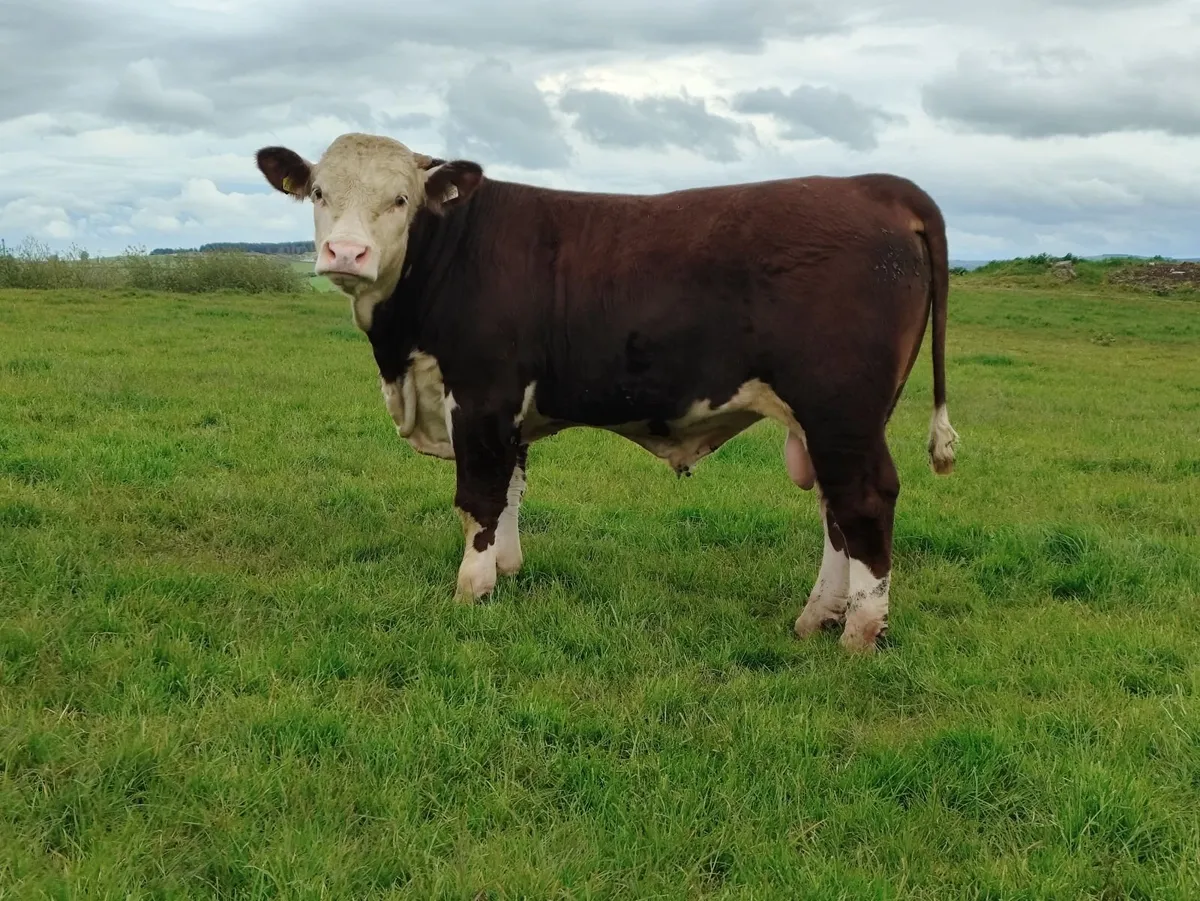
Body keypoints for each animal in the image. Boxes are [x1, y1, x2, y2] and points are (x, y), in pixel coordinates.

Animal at [254, 132, 959, 653]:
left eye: (401, 199)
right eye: (318, 191)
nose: (346, 253)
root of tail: (875, 186)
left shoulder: (480, 395)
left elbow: (478, 497)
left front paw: (471, 590)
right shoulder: (508, 410)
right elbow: (511, 490)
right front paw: (507, 572)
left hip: (841, 410)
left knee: (864, 502)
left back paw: (859, 635)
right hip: (834, 422)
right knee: (835, 510)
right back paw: (818, 618)